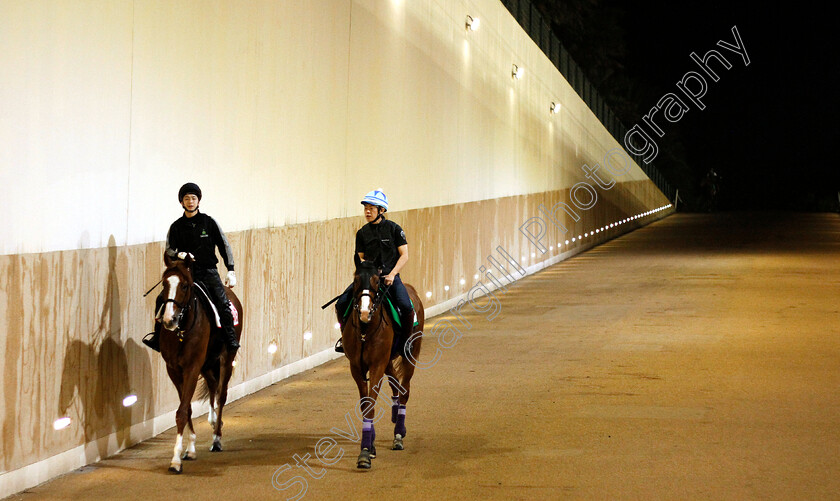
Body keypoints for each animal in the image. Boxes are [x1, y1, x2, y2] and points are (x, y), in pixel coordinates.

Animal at [158, 254, 243, 472]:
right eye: (164, 284)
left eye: (184, 286)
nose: (169, 320)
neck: (182, 331)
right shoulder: (173, 369)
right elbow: (186, 407)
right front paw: (190, 449)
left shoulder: (192, 367)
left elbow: (182, 411)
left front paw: (175, 461)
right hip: (207, 361)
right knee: (213, 384)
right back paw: (212, 421)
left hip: (225, 358)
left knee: (221, 394)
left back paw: (217, 439)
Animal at [338, 262, 424, 468]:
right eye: (356, 279)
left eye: (377, 281)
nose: (364, 312)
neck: (365, 329)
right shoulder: (356, 367)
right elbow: (365, 403)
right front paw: (370, 446)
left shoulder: (377, 364)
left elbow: (371, 403)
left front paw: (365, 452)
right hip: (387, 360)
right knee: (395, 383)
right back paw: (394, 411)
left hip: (411, 354)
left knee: (405, 390)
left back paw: (399, 433)